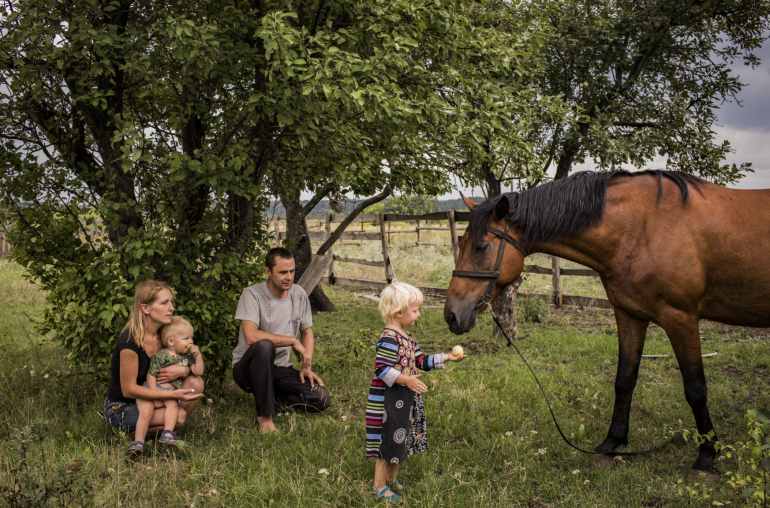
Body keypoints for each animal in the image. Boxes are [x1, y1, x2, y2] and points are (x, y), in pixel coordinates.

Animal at [440, 171, 768, 476]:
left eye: (481, 247)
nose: (451, 315)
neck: (643, 226)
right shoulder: (629, 314)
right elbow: (624, 380)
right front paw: (612, 443)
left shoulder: (681, 318)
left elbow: (696, 389)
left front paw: (707, 455)